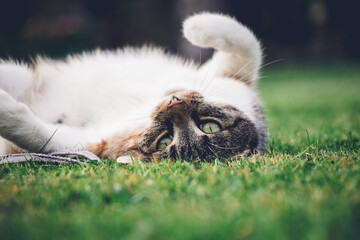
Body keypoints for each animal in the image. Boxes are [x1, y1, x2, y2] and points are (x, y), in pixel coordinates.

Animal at [0, 13, 268, 163]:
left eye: (164, 141)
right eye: (210, 126)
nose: (174, 102)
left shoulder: (88, 143)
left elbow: (37, 132)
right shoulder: (233, 76)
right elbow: (247, 42)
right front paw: (195, 26)